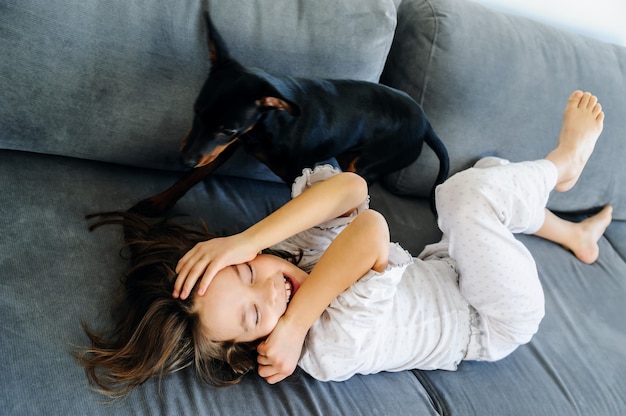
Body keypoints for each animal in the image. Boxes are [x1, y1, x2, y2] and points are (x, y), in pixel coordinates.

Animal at [130, 12, 444, 214]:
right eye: (196, 111)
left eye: (228, 129)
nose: (183, 159)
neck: (266, 126)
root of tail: (426, 122)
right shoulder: (220, 149)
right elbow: (190, 178)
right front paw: (157, 204)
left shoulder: (294, 175)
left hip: (368, 165)